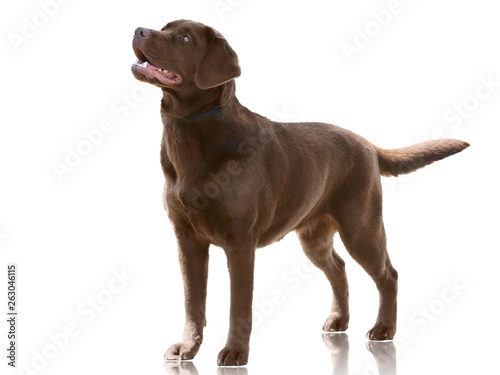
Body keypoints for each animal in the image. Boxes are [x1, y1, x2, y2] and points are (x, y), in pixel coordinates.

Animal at [132, 19, 468, 366]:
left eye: (185, 38)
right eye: (163, 27)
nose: (139, 30)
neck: (190, 131)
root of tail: (367, 143)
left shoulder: (239, 241)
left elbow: (238, 305)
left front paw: (235, 352)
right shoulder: (187, 239)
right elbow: (193, 302)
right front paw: (187, 348)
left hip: (361, 227)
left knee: (388, 274)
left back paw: (384, 329)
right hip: (313, 235)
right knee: (338, 269)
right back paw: (338, 320)